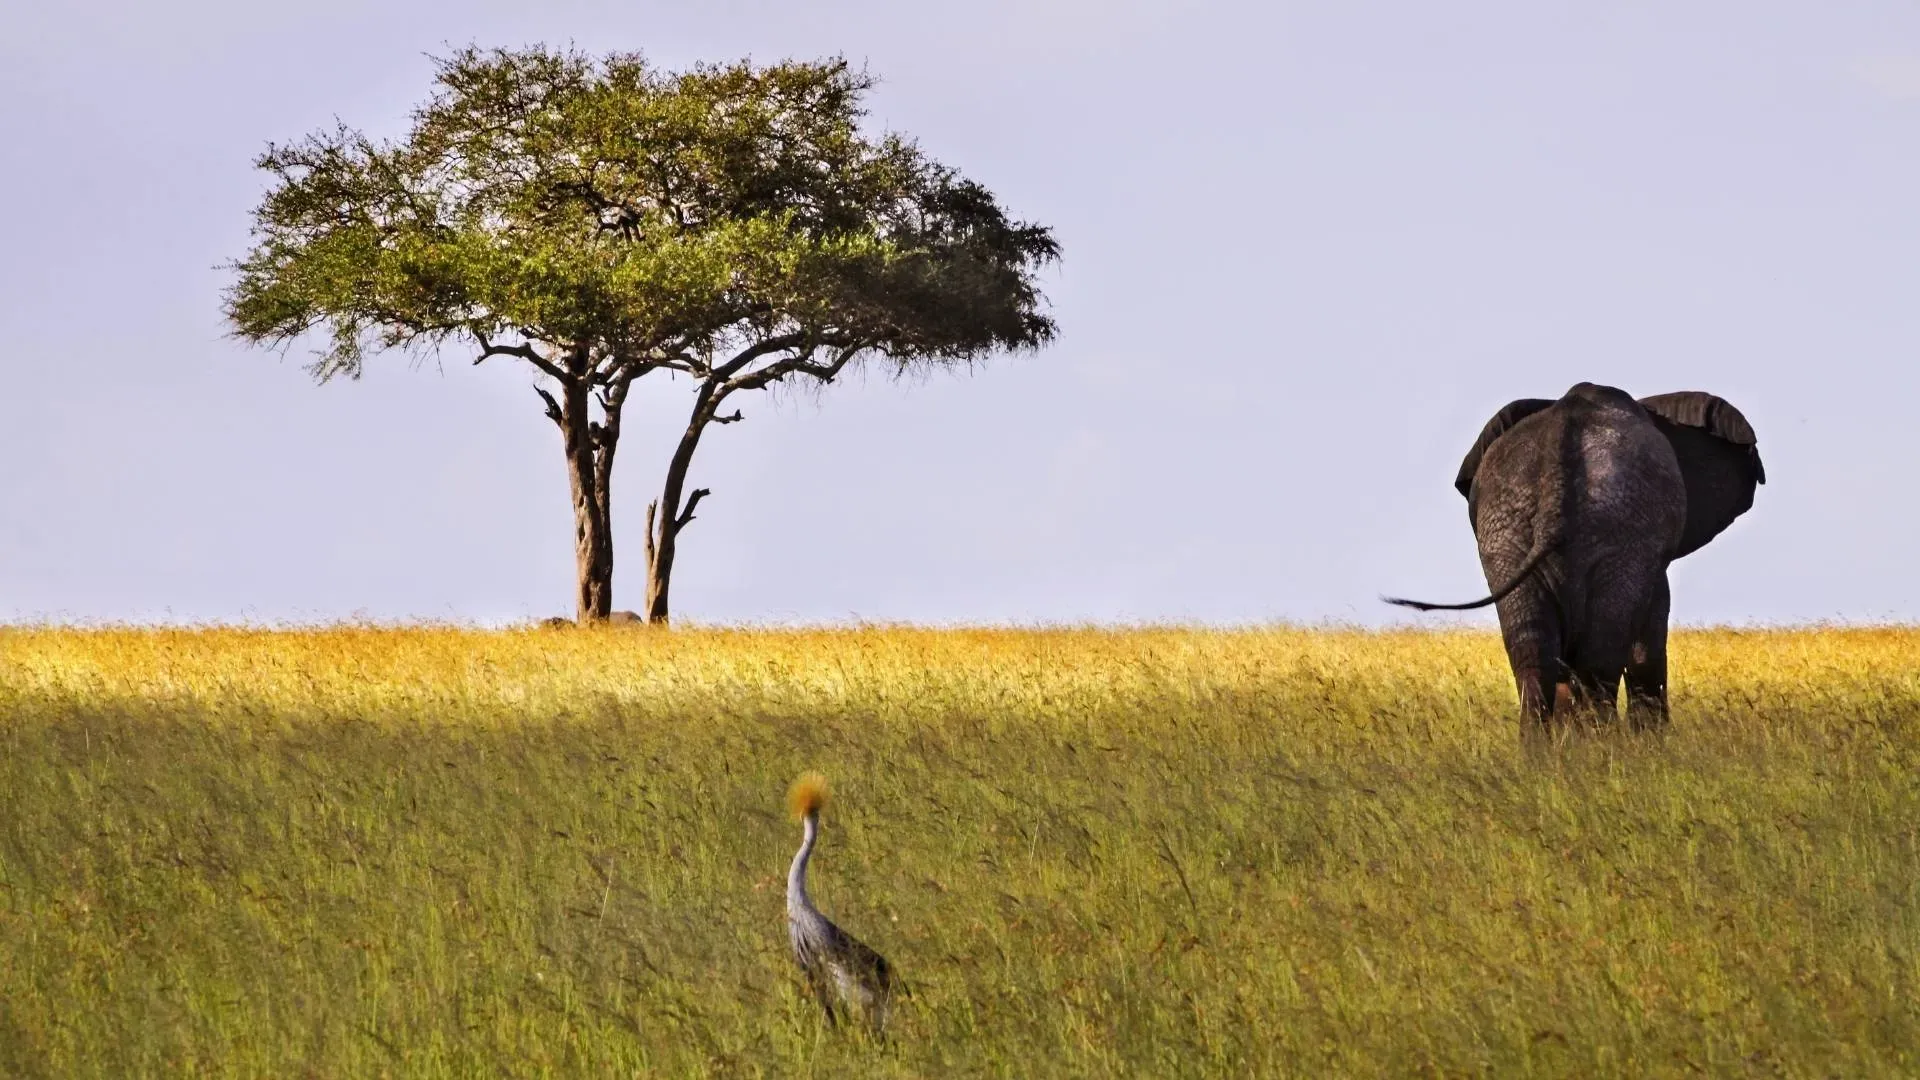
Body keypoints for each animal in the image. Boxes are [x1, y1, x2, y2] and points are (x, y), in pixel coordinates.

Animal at [1384, 382, 1764, 734]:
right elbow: (1648, 643)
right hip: (1617, 532)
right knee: (1597, 660)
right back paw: (1603, 749)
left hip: (1507, 532)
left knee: (1535, 658)